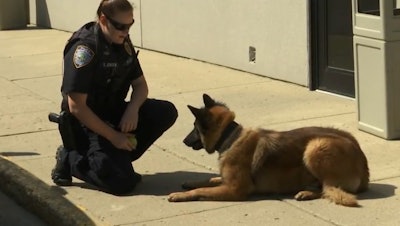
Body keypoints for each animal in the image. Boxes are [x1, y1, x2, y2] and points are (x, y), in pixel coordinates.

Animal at [167, 93, 370, 207]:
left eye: (194, 127)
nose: (184, 141)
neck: (230, 136)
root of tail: (363, 167)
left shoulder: (235, 189)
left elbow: (202, 189)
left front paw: (180, 195)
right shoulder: (225, 180)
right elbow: (209, 179)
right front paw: (191, 182)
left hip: (315, 147)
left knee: (329, 188)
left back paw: (307, 192)